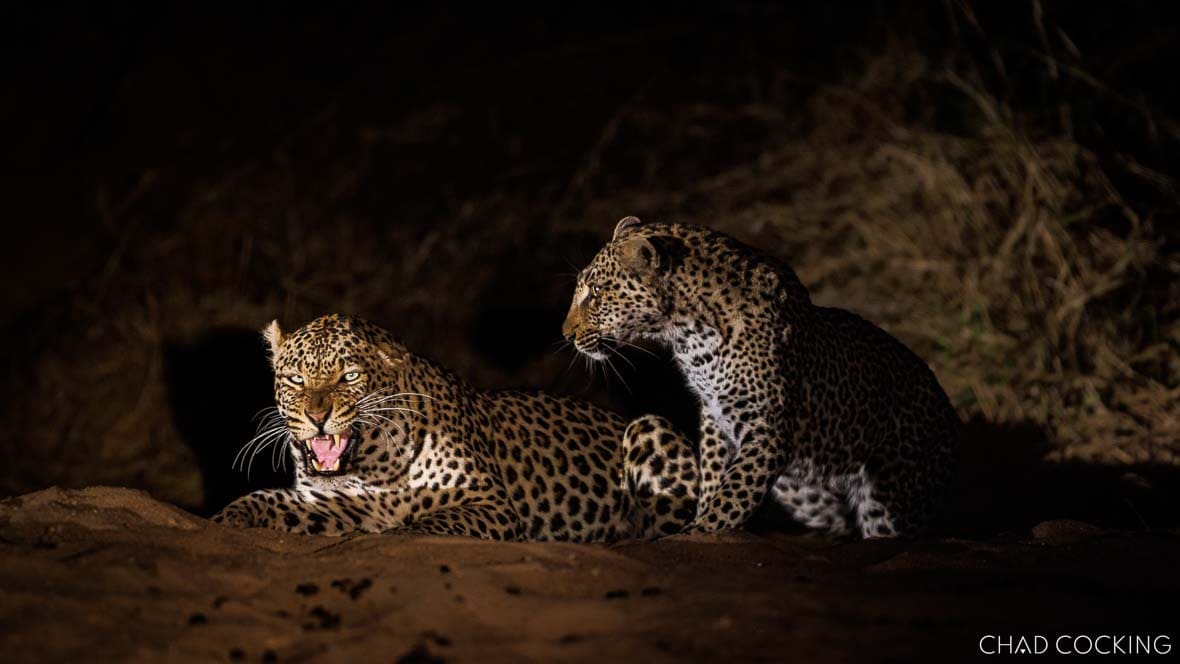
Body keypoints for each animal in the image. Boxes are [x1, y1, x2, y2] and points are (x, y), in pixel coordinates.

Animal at [212, 314, 698, 541]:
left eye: (349, 377)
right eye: (296, 379)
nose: (317, 417)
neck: (375, 463)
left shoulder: (489, 503)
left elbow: (424, 526)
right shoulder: (345, 500)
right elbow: (273, 502)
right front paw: (230, 517)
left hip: (649, 429)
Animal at [562, 217, 959, 538]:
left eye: (596, 292)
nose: (565, 334)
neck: (688, 336)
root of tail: (949, 414)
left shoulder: (768, 428)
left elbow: (731, 497)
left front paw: (699, 531)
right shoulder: (714, 418)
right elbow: (714, 479)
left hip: (892, 494)